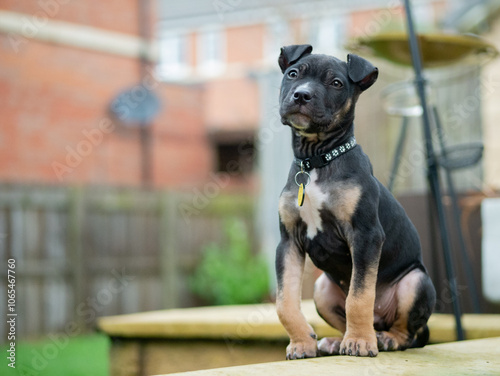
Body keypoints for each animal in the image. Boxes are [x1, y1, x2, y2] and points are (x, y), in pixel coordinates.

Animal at [276, 45, 436, 360]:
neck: (317, 160)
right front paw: (301, 343)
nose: (301, 95)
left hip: (414, 281)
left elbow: (359, 296)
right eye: (293, 74)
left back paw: (383, 339)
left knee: (410, 333)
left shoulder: (365, 235)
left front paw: (361, 343)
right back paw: (337, 341)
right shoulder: (288, 242)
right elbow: (284, 302)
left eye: (337, 83)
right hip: (322, 289)